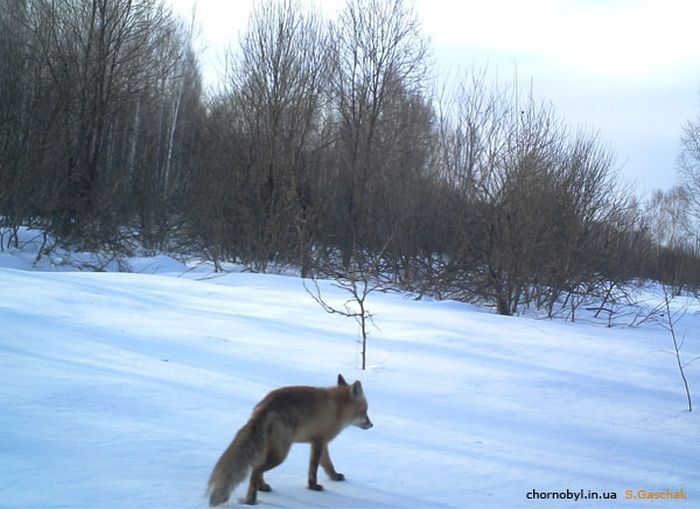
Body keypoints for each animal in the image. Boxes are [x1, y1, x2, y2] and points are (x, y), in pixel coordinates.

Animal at [206, 374, 372, 504]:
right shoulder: (318, 441)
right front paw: (313, 487)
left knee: (256, 467)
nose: (372, 425)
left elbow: (328, 465)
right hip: (281, 454)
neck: (337, 408)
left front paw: (335, 477)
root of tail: (264, 405)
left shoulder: (322, 442)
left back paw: (262, 488)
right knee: (256, 470)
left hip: (272, 450)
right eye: (365, 411)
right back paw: (251, 500)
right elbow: (313, 469)